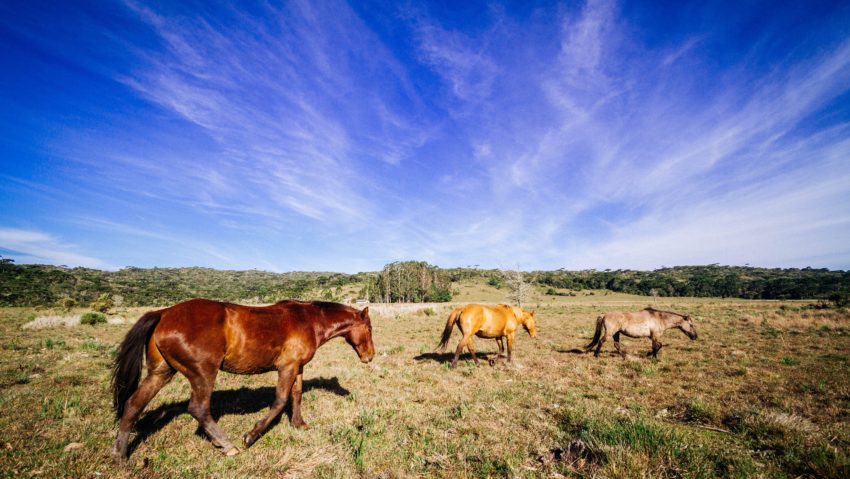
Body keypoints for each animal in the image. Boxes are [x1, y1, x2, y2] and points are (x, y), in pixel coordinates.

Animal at [108, 300, 372, 462]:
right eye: (369, 329)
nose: (370, 356)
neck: (308, 320)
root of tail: (163, 313)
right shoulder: (286, 368)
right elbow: (280, 401)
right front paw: (252, 435)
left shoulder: (297, 367)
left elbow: (296, 396)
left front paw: (299, 424)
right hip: (203, 373)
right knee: (198, 409)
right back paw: (227, 445)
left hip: (161, 373)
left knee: (133, 405)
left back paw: (120, 455)